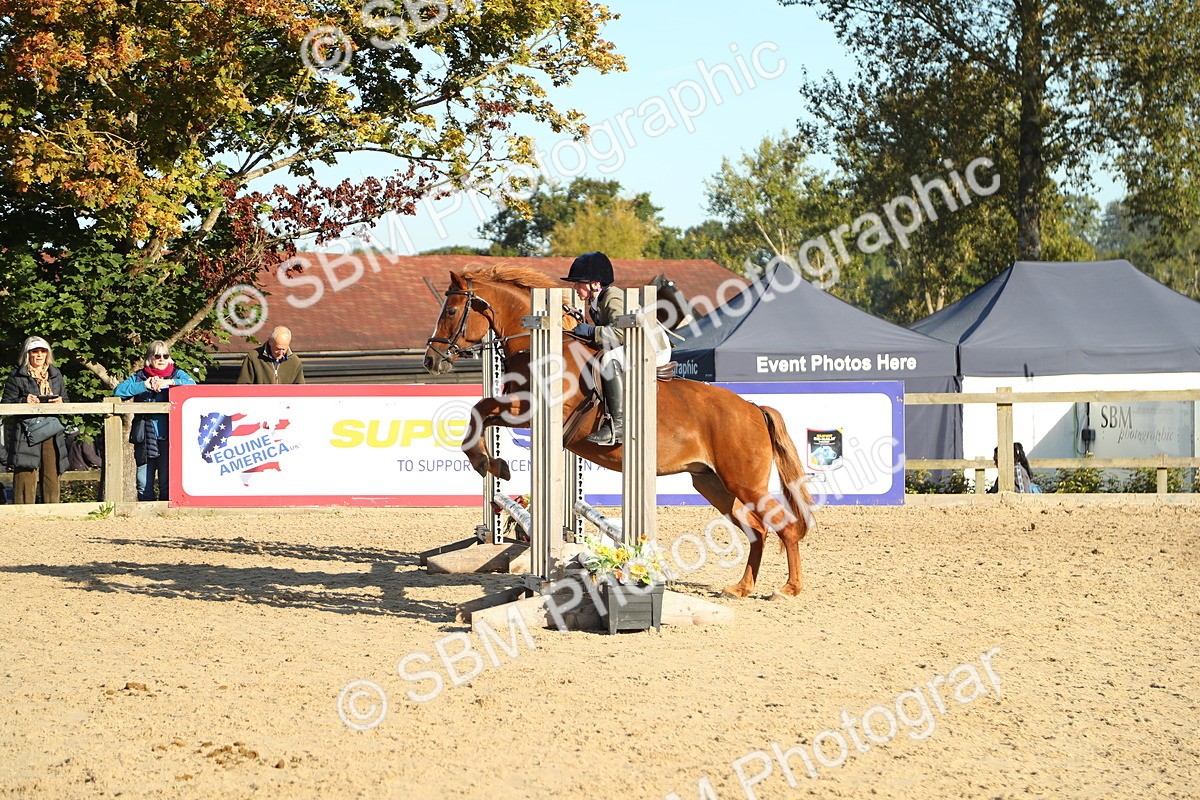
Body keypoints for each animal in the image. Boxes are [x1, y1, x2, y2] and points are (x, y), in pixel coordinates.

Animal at [423, 265, 813, 598]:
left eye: (452, 312)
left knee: (784, 525)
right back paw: (741, 588)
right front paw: (493, 464)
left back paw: (788, 589)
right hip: (712, 482)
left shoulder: (530, 412)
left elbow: (480, 411)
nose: (430, 360)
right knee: (757, 530)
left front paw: (488, 464)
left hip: (743, 481)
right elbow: (481, 412)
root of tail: (752, 408)